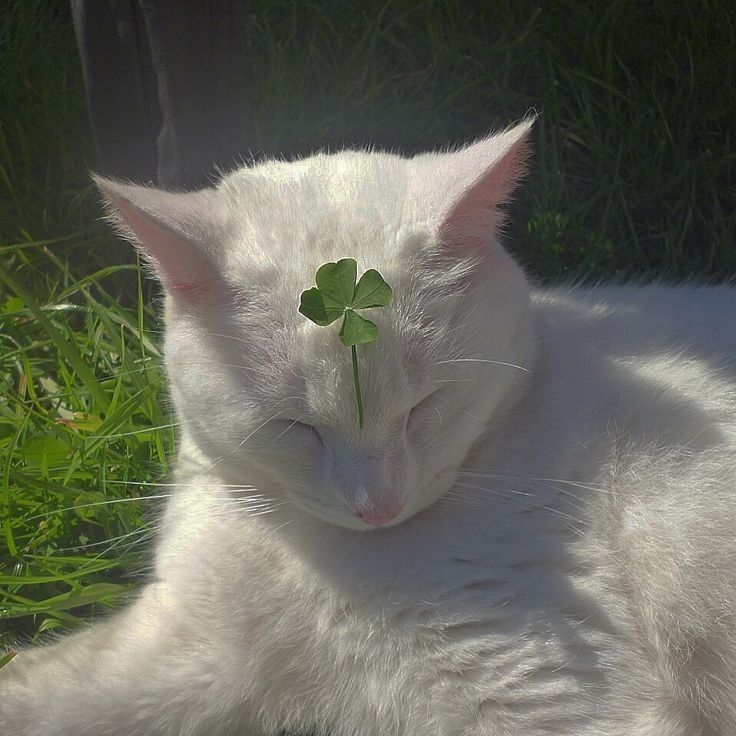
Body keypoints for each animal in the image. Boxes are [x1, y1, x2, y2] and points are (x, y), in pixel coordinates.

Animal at [1, 122, 736, 736]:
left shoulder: (541, 685)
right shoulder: (175, 653)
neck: (310, 555)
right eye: (296, 426)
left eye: (425, 406)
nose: (377, 507)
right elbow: (36, 688)